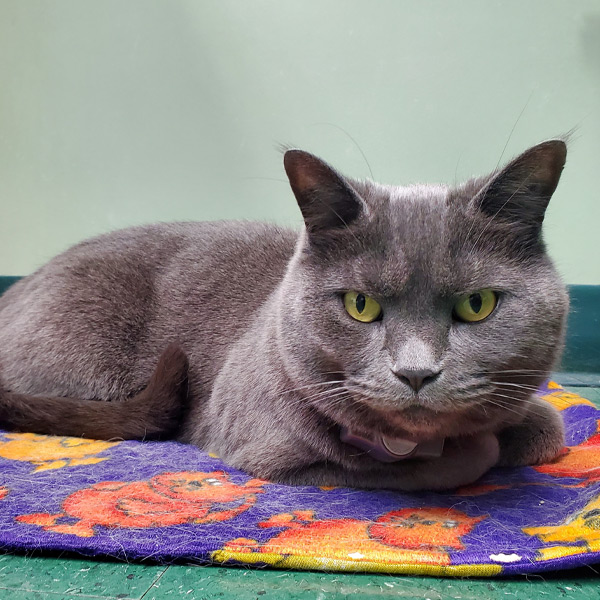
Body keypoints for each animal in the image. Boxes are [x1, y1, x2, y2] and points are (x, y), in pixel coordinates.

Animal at [0, 141, 568, 492]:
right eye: (361, 305)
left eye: (478, 305)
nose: (415, 373)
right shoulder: (269, 451)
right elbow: (445, 466)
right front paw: (475, 452)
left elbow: (550, 426)